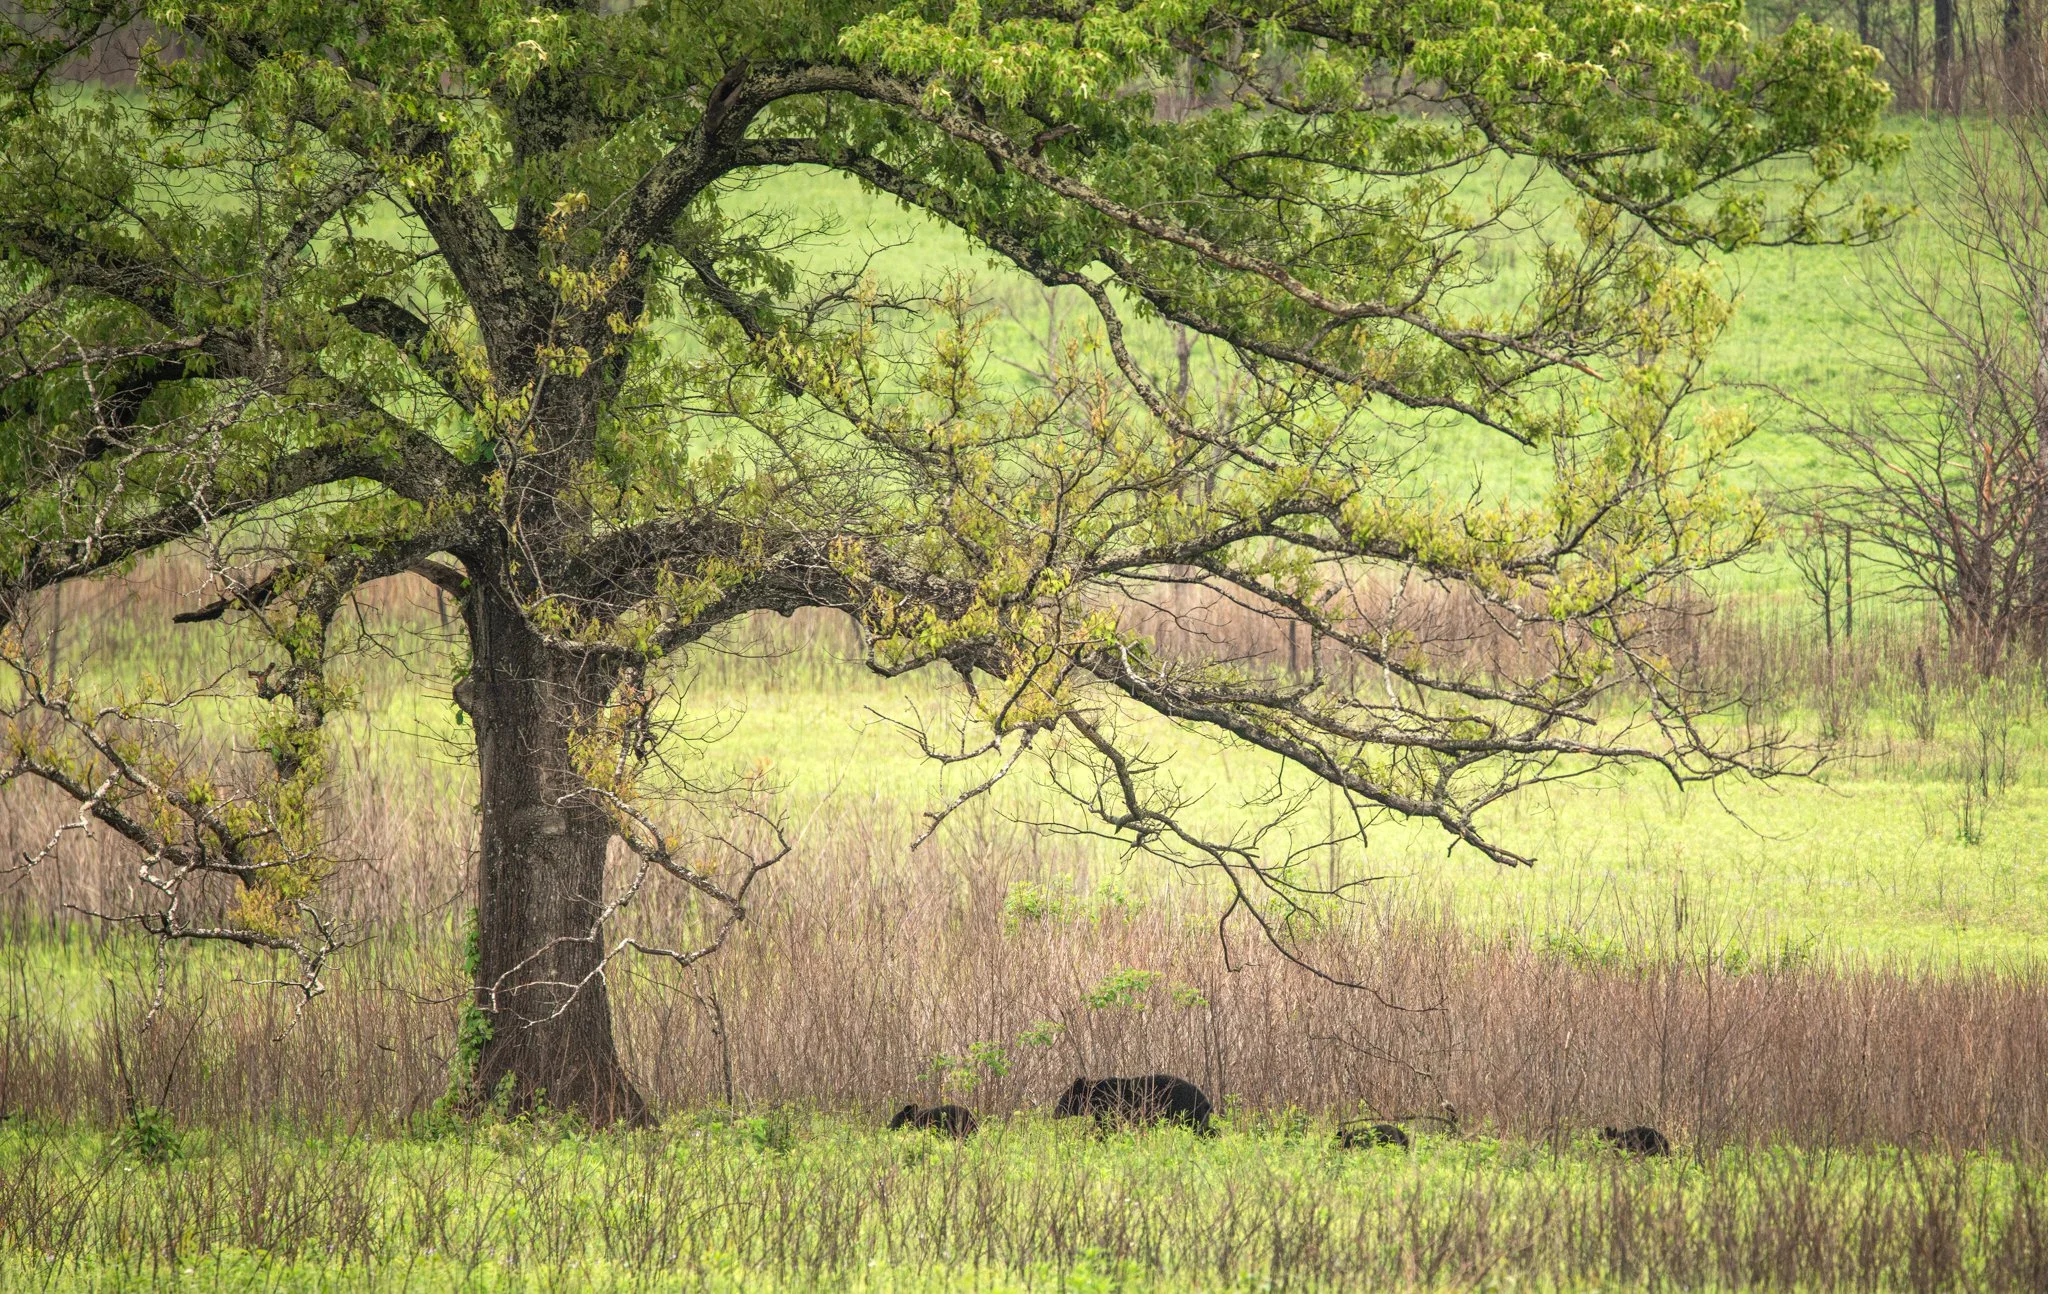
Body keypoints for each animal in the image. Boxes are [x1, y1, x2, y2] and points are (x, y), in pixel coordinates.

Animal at [1053, 1074, 1214, 1135]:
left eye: (1064, 1098)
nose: (1054, 1113)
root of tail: (1206, 1101)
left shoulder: (1110, 1108)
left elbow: (1107, 1127)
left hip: (1187, 1113)